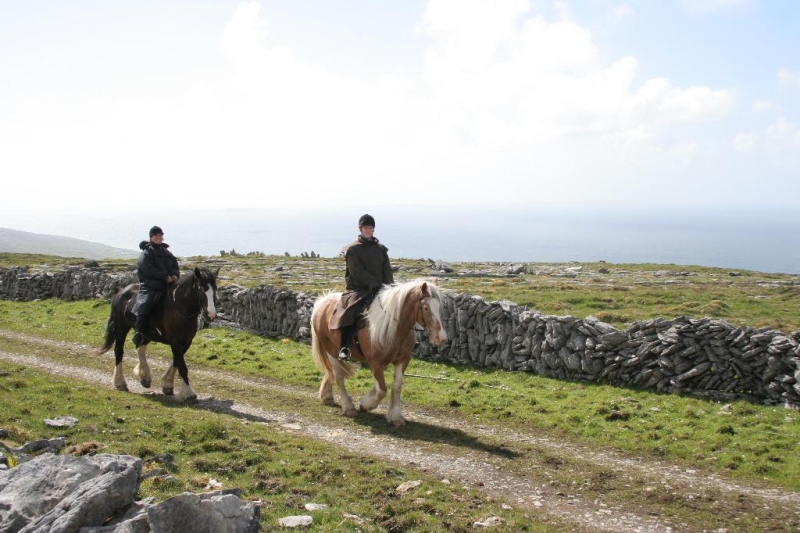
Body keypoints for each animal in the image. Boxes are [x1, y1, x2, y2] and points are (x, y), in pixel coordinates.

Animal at [94, 266, 219, 400]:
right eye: (201, 289)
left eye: (215, 289)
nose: (211, 315)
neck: (180, 308)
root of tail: (121, 292)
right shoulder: (175, 342)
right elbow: (182, 366)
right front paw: (188, 393)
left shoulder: (186, 342)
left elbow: (176, 361)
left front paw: (167, 385)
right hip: (121, 328)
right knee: (119, 351)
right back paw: (120, 383)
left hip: (146, 333)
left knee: (140, 347)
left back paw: (144, 377)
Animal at [310, 278, 446, 424]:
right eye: (426, 308)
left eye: (439, 307)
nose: (441, 338)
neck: (393, 328)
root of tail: (323, 302)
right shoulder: (375, 362)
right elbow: (381, 390)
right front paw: (366, 404)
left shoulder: (402, 360)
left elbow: (396, 387)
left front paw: (396, 416)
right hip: (332, 353)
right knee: (338, 376)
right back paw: (348, 407)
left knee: (331, 372)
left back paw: (327, 396)